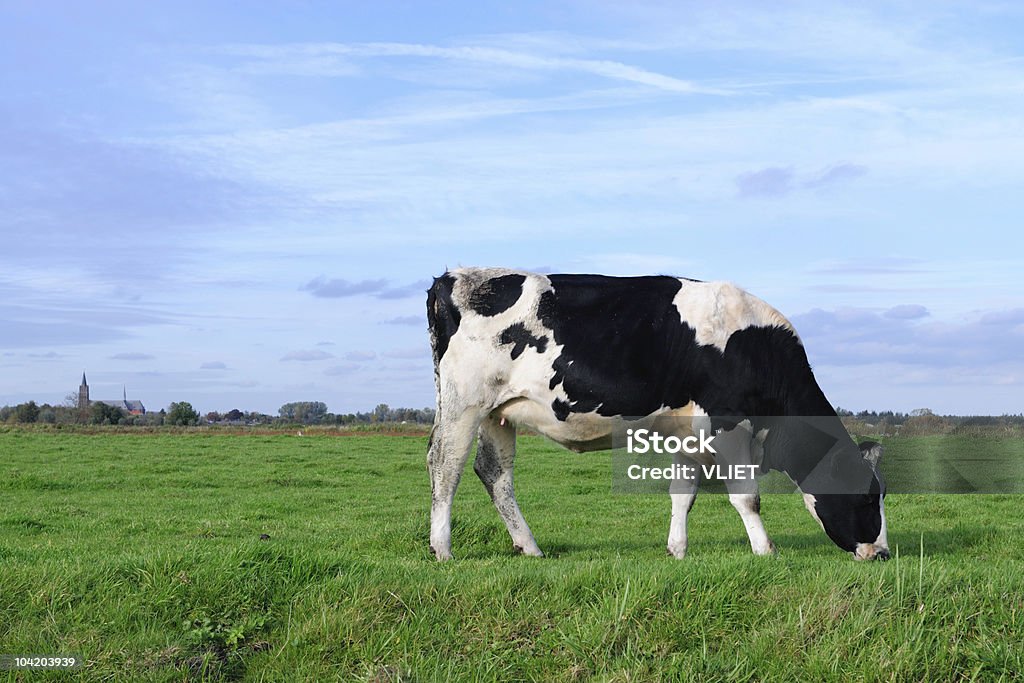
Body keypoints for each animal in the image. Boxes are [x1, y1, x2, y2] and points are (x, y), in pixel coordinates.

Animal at [423, 270, 888, 565]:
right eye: (868, 497)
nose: (882, 554)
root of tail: (452, 278)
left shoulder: (689, 432)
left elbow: (682, 494)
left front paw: (677, 550)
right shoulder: (728, 423)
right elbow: (746, 497)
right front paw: (765, 551)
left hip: (497, 413)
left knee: (494, 473)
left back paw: (530, 547)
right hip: (464, 403)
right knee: (445, 465)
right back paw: (442, 549)